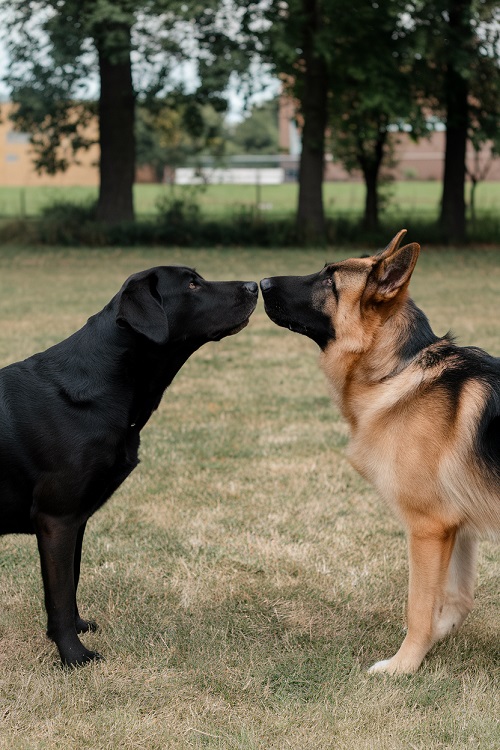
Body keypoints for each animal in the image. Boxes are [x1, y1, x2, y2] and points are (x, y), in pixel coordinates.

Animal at [0, 268, 258, 668]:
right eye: (191, 284)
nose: (254, 286)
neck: (106, 381)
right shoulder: (56, 519)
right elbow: (59, 596)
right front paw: (74, 656)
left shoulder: (77, 519)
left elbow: (72, 580)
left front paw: (80, 627)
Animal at [262, 229, 500, 676]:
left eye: (330, 281)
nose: (261, 282)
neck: (397, 370)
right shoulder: (456, 526)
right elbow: (456, 600)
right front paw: (429, 647)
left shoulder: (428, 528)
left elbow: (419, 607)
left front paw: (403, 666)